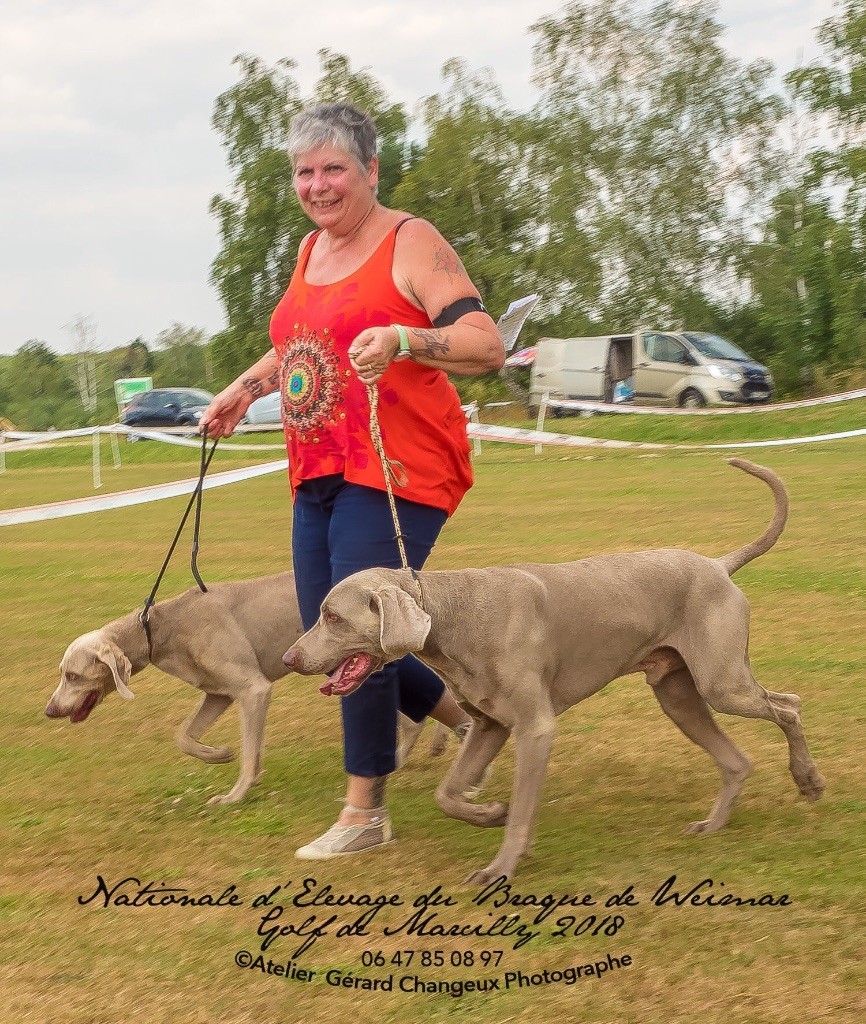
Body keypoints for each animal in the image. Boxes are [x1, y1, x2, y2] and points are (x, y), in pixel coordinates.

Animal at [282, 460, 827, 884]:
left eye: (332, 617)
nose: (289, 659)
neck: (455, 616)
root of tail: (717, 565)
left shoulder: (534, 728)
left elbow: (522, 809)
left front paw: (501, 865)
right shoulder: (490, 725)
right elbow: (447, 793)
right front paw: (487, 813)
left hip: (721, 682)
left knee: (790, 705)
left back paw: (808, 780)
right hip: (677, 693)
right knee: (737, 760)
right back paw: (714, 824)